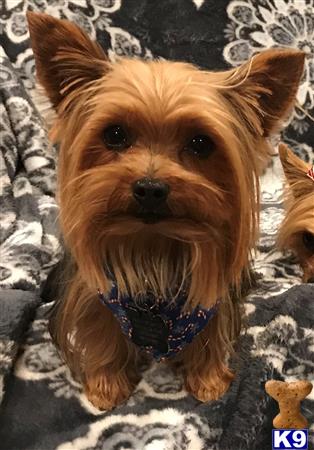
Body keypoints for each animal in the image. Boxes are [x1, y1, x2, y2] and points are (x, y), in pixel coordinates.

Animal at [27, 12, 304, 410]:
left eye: (201, 143)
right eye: (114, 134)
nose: (150, 188)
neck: (152, 245)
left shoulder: (208, 301)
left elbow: (211, 333)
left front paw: (208, 381)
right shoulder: (93, 293)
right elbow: (100, 329)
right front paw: (107, 385)